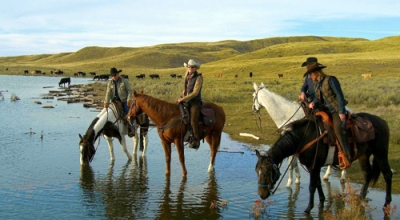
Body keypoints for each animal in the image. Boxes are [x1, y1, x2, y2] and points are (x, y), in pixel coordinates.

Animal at [256, 111, 390, 213]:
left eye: (267, 172)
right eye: (257, 171)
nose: (261, 194)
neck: (304, 138)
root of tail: (383, 121)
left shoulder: (314, 166)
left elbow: (312, 186)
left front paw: (309, 208)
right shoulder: (313, 166)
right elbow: (318, 183)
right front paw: (321, 201)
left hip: (380, 153)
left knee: (387, 173)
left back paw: (387, 203)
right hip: (364, 156)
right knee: (367, 174)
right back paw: (361, 197)